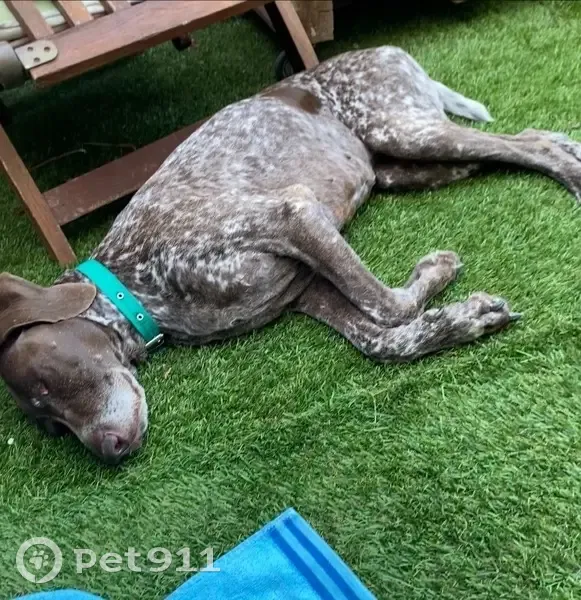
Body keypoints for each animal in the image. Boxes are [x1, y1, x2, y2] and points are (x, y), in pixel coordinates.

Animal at [1, 47, 580, 464]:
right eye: (51, 427)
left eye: (49, 382)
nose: (109, 453)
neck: (137, 284)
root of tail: (385, 48)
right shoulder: (304, 288)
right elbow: (381, 339)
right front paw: (457, 320)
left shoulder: (293, 216)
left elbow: (389, 306)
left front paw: (437, 275)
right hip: (399, 161)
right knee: (498, 152)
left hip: (405, 130)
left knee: (529, 143)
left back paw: (571, 173)